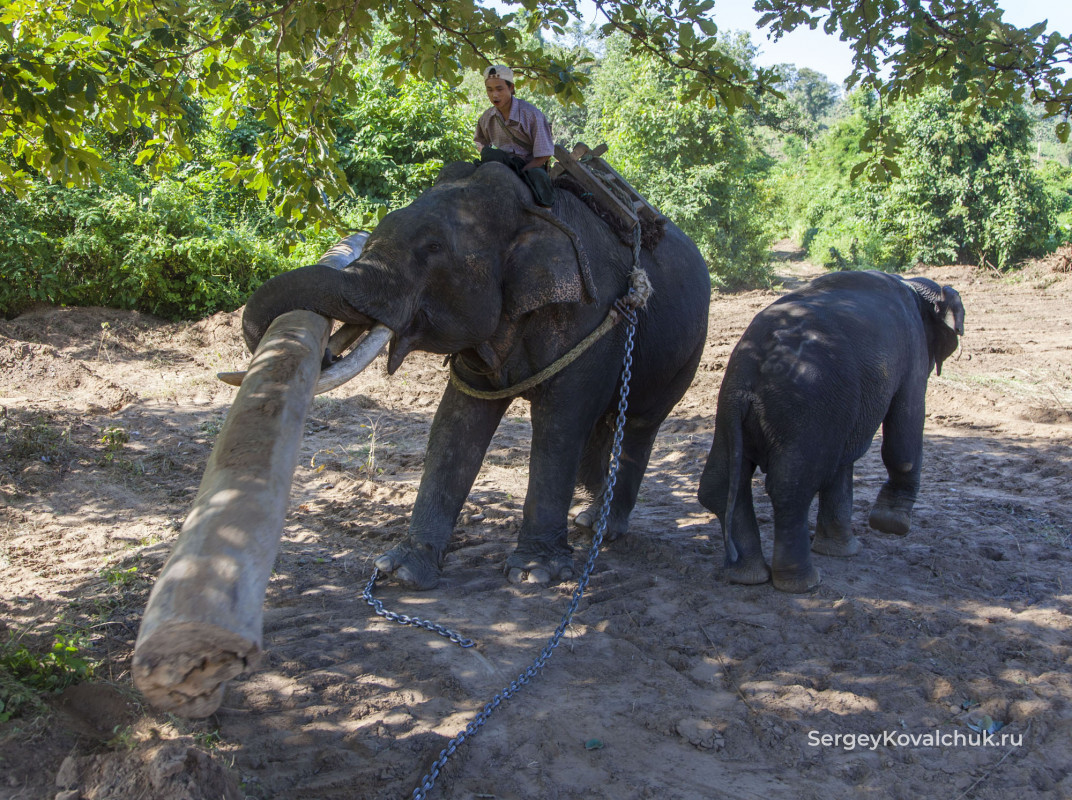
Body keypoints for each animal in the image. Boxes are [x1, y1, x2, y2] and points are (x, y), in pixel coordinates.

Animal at [242, 160, 711, 588]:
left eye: (432, 248)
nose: (323, 350)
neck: (531, 208)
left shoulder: (593, 319)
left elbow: (560, 424)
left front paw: (534, 574)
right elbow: (457, 420)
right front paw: (400, 571)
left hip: (686, 350)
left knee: (639, 425)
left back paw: (602, 527)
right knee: (607, 423)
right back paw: (588, 518)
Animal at [697, 270, 965, 593]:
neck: (913, 285)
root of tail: (749, 374)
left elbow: (843, 464)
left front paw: (842, 550)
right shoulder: (912, 351)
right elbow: (905, 429)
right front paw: (892, 524)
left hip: (731, 407)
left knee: (720, 484)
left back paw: (746, 575)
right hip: (805, 410)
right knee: (791, 487)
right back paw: (802, 583)